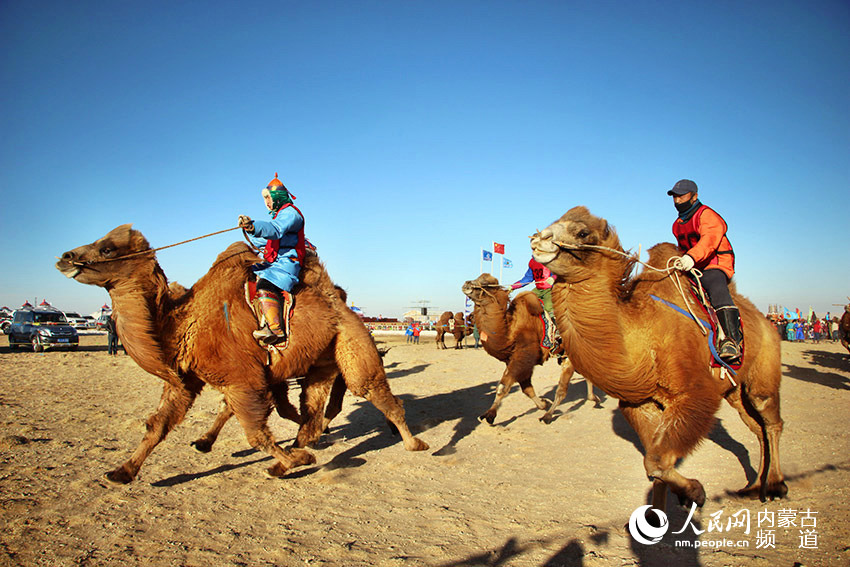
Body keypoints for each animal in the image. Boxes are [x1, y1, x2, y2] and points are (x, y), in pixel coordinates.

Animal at [55, 224, 428, 482]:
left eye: (106, 248)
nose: (65, 257)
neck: (180, 323)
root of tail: (341, 304)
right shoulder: (184, 381)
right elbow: (158, 425)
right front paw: (121, 471)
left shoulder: (242, 379)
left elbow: (255, 431)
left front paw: (298, 460)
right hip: (322, 360)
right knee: (312, 411)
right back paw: (297, 450)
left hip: (352, 341)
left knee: (373, 390)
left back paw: (414, 444)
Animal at [464, 274, 596, 426]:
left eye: (486, 283)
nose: (466, 284)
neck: (511, 332)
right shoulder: (515, 360)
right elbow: (526, 389)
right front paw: (543, 403)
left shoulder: (523, 357)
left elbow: (503, 387)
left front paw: (489, 415)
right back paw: (594, 399)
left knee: (563, 388)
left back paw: (548, 416)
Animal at [528, 205, 784, 510]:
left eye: (581, 232)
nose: (538, 238)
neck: (643, 336)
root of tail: (767, 322)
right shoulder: (641, 403)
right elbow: (655, 463)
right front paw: (662, 512)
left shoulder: (695, 395)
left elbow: (656, 462)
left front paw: (695, 492)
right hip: (734, 390)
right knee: (757, 428)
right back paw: (754, 486)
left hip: (763, 375)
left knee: (771, 422)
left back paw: (776, 486)